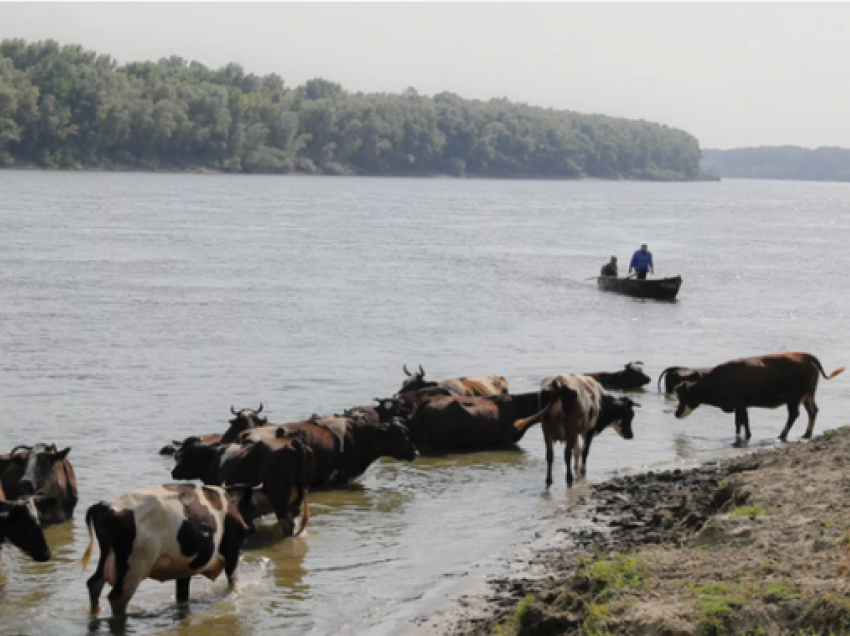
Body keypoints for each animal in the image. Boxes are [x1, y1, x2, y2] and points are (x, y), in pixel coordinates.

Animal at [81, 486, 256, 616]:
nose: (252, 528)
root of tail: (105, 506)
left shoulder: (184, 568)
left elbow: (182, 596)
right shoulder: (232, 552)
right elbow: (233, 583)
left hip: (108, 558)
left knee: (94, 583)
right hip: (135, 565)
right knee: (118, 597)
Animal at [672, 352, 844, 442]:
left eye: (683, 397)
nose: (676, 414)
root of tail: (805, 356)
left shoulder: (740, 402)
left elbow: (744, 421)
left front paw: (748, 436)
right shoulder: (739, 405)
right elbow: (738, 423)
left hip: (793, 397)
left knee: (794, 414)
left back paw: (782, 435)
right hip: (808, 395)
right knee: (812, 411)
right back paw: (806, 434)